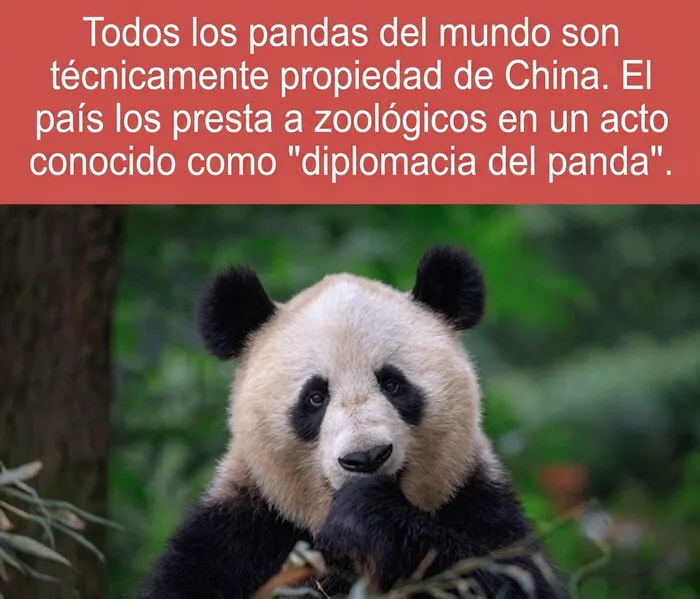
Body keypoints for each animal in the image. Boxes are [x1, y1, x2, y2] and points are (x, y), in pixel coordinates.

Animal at [140, 245, 563, 599]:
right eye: (315, 397)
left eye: (393, 384)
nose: (366, 458)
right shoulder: (236, 534)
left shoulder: (480, 504)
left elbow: (507, 578)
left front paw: (364, 515)